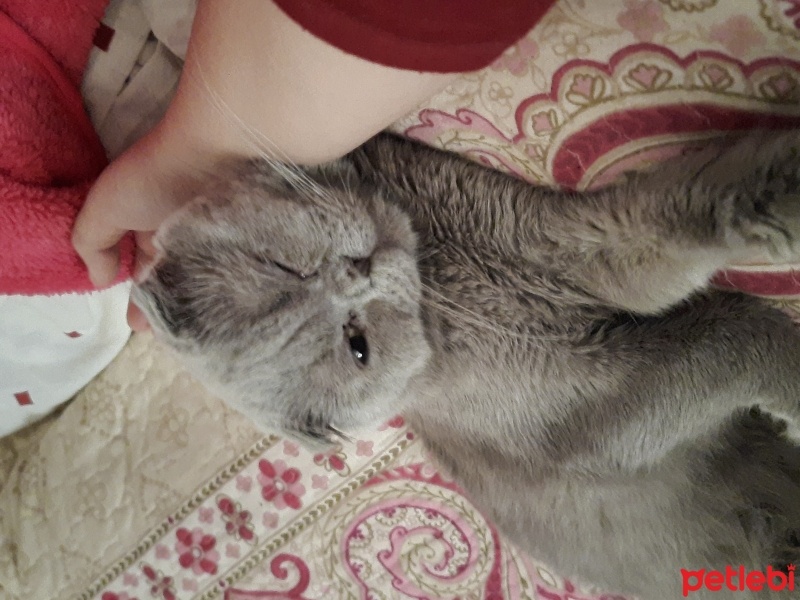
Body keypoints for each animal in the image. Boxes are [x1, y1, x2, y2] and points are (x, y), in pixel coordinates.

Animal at [134, 129, 800, 596]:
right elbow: (729, 331)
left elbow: (689, 208)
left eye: (282, 267)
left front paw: (787, 187)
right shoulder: (588, 403)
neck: (443, 268)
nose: (356, 272)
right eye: (359, 347)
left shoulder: (573, 236)